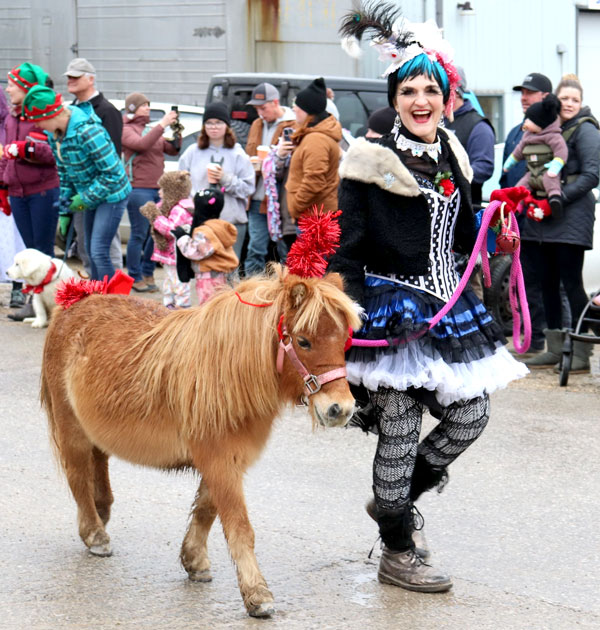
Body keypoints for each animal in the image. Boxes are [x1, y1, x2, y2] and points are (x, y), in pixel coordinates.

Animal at [40, 265, 362, 618]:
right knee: (78, 475)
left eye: (344, 341)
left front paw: (194, 560)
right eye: (303, 341)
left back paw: (101, 511)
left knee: (98, 462)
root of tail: (76, 302)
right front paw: (257, 593)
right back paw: (94, 533)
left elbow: (206, 510)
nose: (340, 409)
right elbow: (239, 527)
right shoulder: (219, 462)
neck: (225, 373)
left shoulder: (225, 462)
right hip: (71, 428)